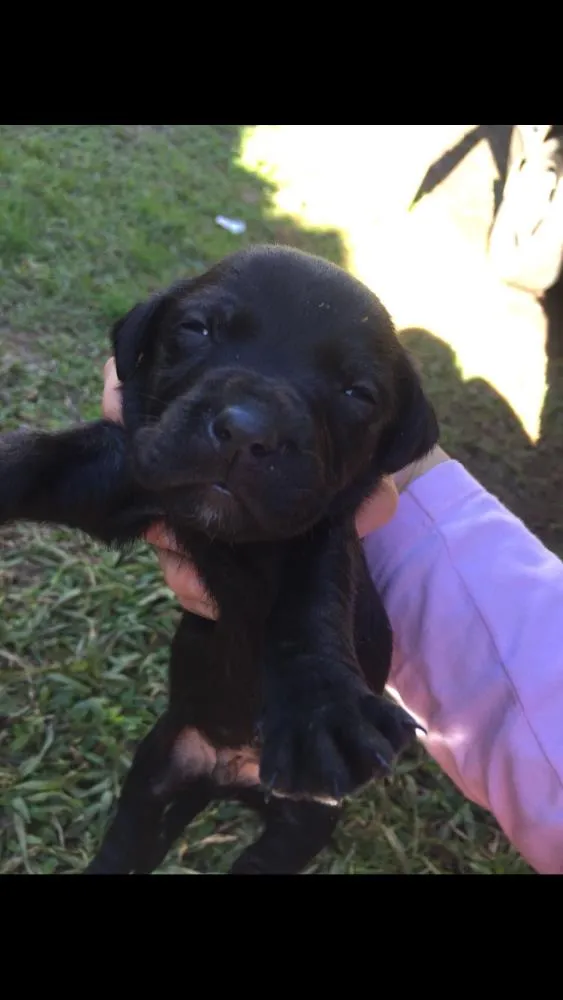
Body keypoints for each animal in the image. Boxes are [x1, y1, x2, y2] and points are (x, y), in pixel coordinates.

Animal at [0, 246, 438, 872]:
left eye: (358, 393)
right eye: (196, 329)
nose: (247, 431)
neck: (230, 541)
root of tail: (232, 774)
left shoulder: (321, 533)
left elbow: (313, 603)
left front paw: (322, 709)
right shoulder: (124, 472)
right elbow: (39, 456)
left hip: (299, 826)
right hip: (161, 773)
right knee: (130, 842)